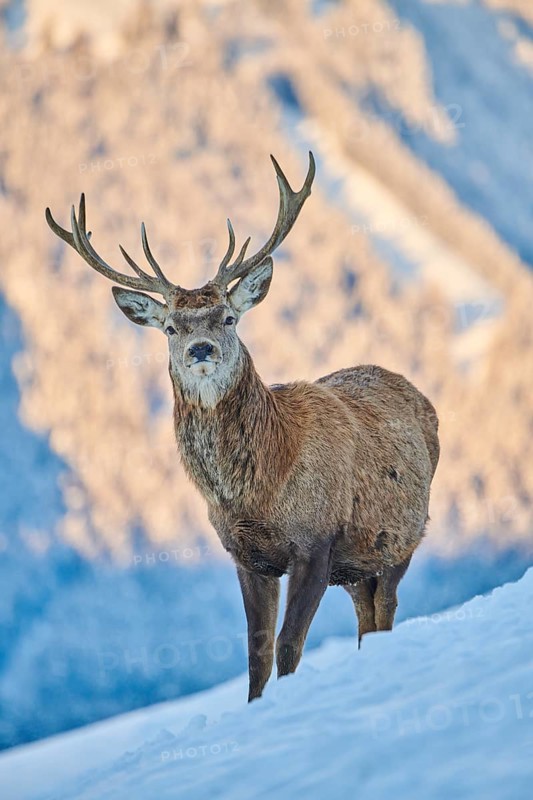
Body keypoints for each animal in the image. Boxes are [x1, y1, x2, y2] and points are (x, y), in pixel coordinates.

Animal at [46, 152, 439, 701]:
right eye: (171, 327)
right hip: (359, 564)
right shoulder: (247, 556)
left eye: (228, 318)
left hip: (404, 534)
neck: (255, 490)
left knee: (386, 609)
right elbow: (256, 655)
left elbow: (289, 647)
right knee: (368, 617)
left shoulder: (317, 542)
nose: (201, 349)